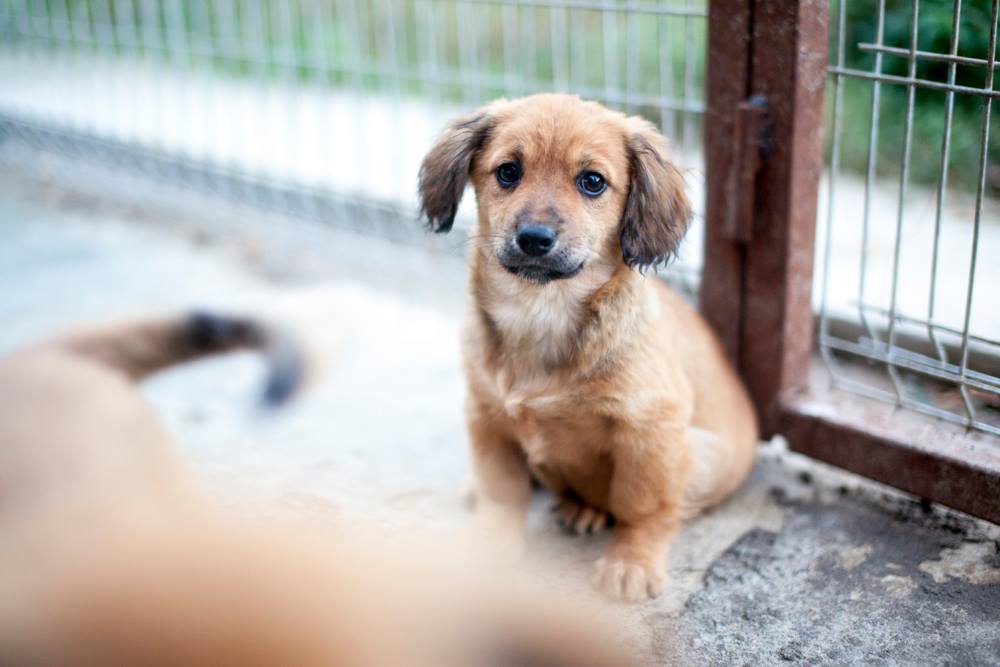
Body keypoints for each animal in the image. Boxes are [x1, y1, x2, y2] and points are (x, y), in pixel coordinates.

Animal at [416, 92, 756, 600]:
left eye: (592, 182)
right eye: (508, 172)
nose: (534, 239)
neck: (541, 313)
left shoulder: (651, 430)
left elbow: (642, 506)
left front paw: (631, 562)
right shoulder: (486, 415)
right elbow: (502, 491)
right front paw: (491, 542)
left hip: (705, 455)